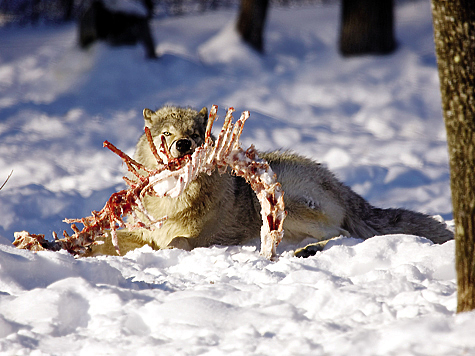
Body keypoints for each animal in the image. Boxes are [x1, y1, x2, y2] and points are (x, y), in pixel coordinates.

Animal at [87, 105, 456, 256]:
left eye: (194, 134)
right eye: (167, 134)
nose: (183, 145)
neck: (173, 198)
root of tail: (341, 185)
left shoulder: (201, 237)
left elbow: (176, 243)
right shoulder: (142, 233)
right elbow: (106, 242)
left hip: (280, 202)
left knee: (342, 234)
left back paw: (308, 251)